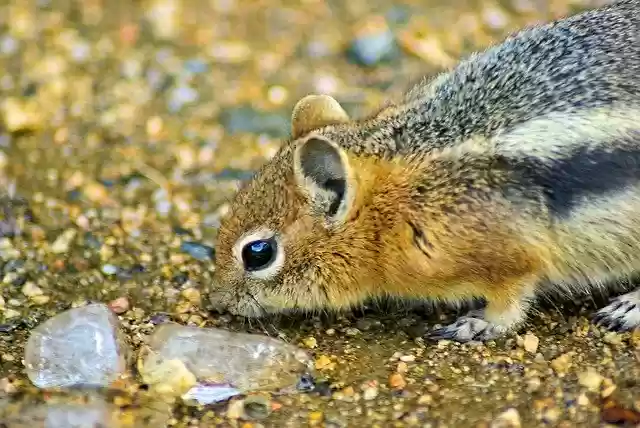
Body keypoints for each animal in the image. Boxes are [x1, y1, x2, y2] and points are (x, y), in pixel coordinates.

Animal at [209, 0, 640, 343]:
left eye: (258, 253)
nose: (218, 300)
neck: (395, 205)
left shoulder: (511, 256)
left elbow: (511, 302)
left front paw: (478, 324)